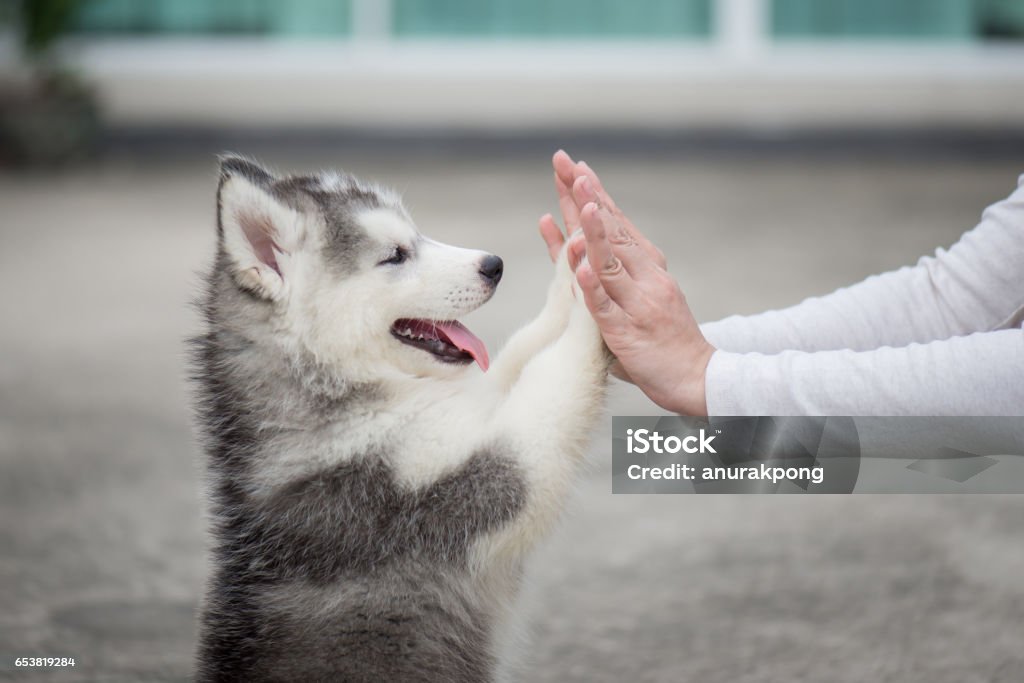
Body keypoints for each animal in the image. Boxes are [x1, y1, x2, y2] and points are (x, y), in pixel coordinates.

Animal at [190, 157, 606, 679]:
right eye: (395, 256)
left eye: (416, 235)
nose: (494, 265)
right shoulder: (455, 485)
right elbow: (552, 380)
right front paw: (599, 293)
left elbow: (519, 353)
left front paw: (573, 266)